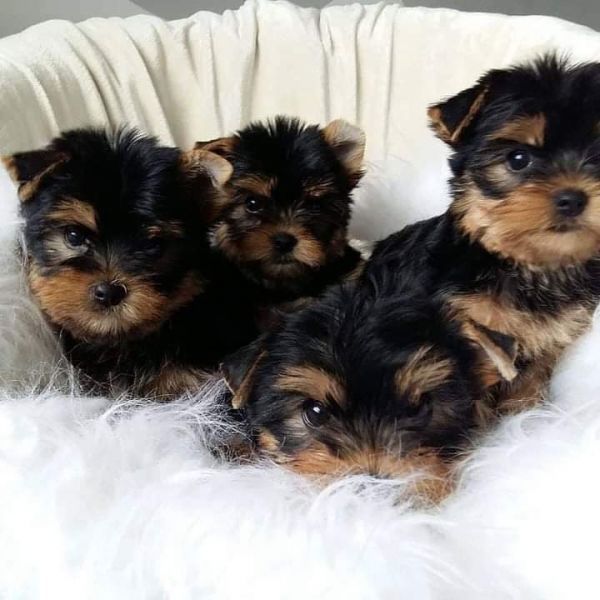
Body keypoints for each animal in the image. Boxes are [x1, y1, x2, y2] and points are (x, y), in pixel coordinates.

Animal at [368, 55, 600, 412]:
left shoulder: (550, 340)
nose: (573, 198)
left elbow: (528, 384)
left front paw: (522, 415)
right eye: (518, 159)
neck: (530, 266)